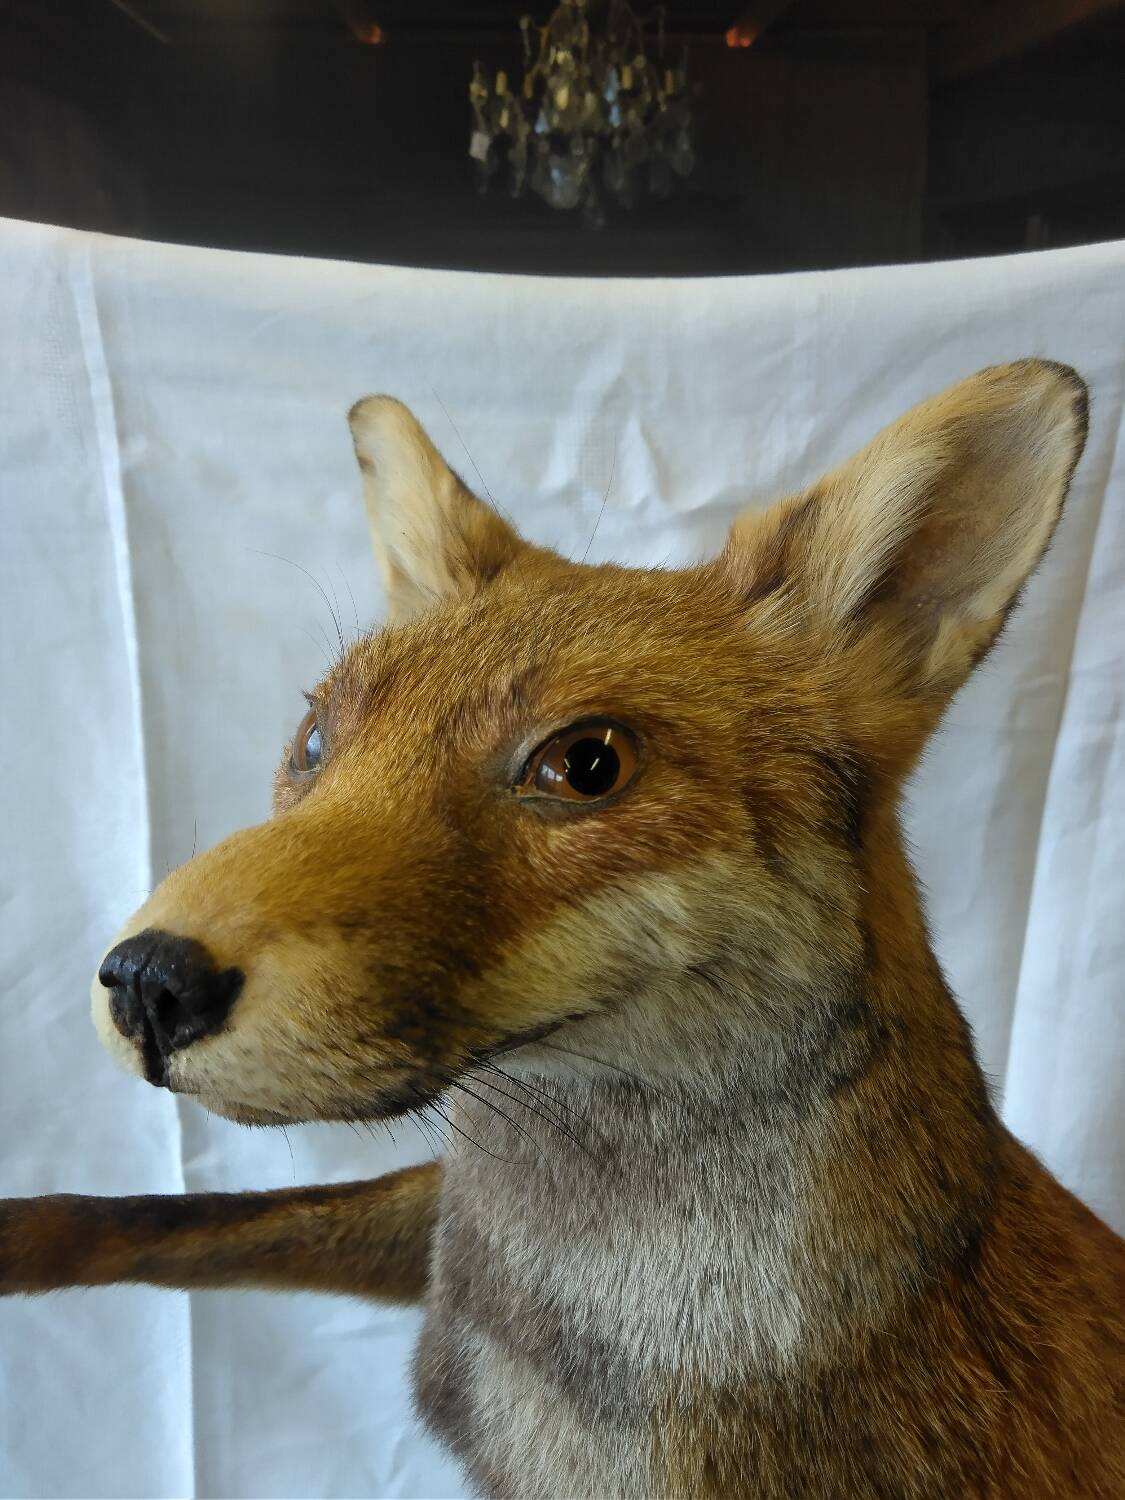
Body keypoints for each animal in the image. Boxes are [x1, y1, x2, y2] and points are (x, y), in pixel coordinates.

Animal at [1, 359, 1122, 1499]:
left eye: (586, 766)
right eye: (314, 741)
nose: (149, 981)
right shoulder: (435, 1238)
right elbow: (185, 1219)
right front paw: (24, 1238)